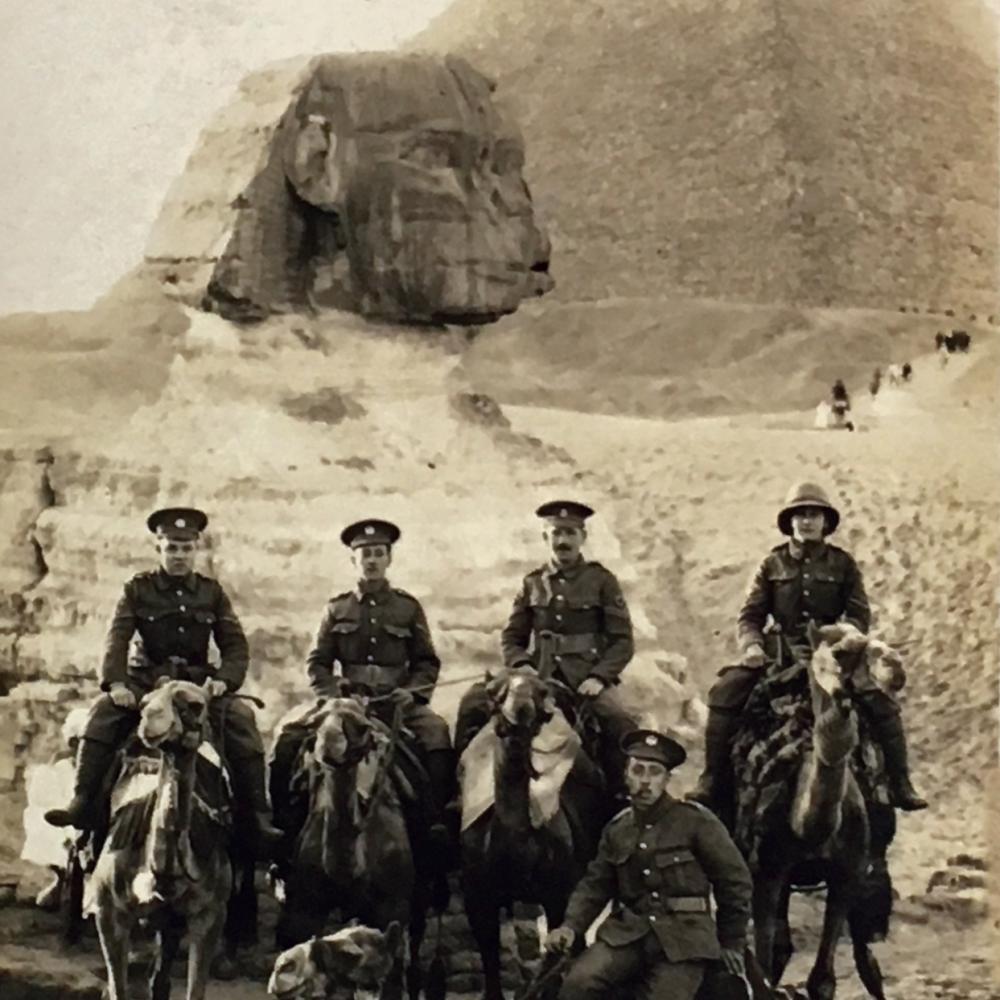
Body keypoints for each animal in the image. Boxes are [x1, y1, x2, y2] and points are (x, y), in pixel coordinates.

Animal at [89, 684, 230, 1000]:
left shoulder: (210, 914)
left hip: (172, 923)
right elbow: (117, 989)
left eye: (195, 705)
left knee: (160, 979)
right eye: (144, 703)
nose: (150, 724)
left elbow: (195, 991)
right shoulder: (107, 910)